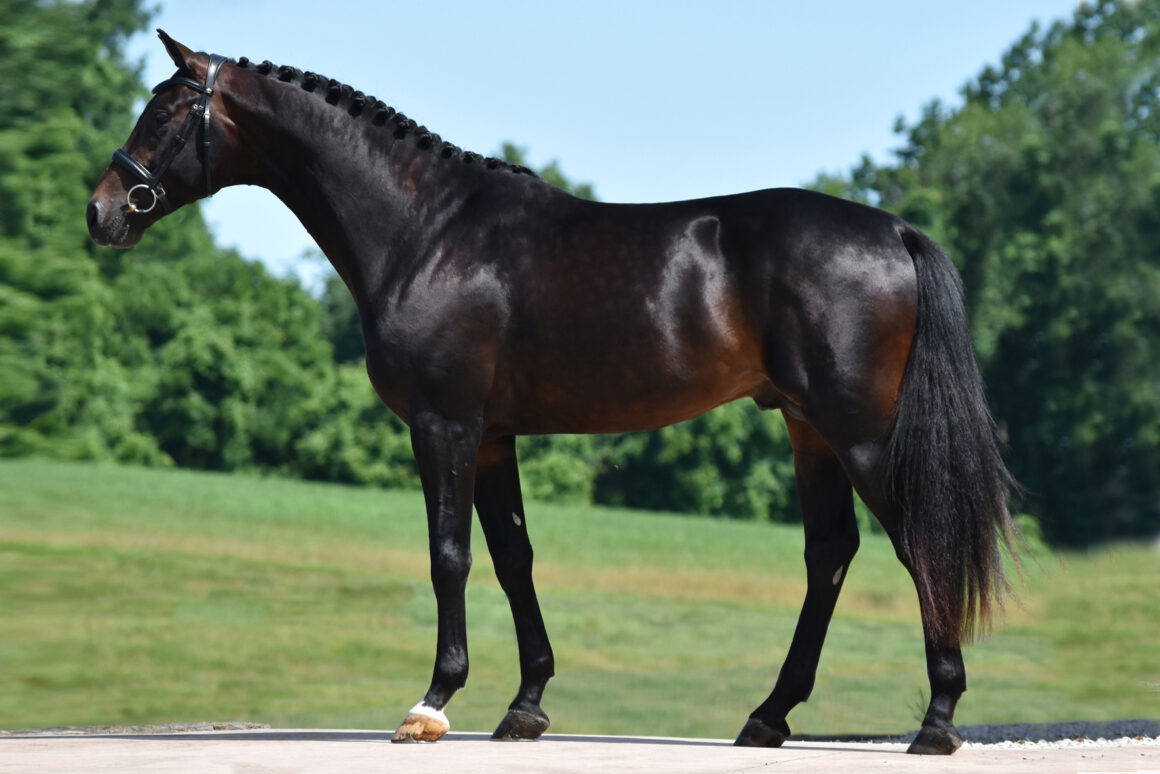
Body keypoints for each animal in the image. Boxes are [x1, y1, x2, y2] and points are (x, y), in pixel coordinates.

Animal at [88, 33, 1016, 751]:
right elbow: (513, 558)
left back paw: (936, 721)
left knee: (917, 542)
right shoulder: (493, 436)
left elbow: (449, 554)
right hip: (807, 428)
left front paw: (432, 704)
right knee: (830, 555)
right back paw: (768, 717)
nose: (103, 211)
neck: (429, 232)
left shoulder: (444, 424)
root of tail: (894, 230)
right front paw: (525, 706)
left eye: (166, 112)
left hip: (856, 429)